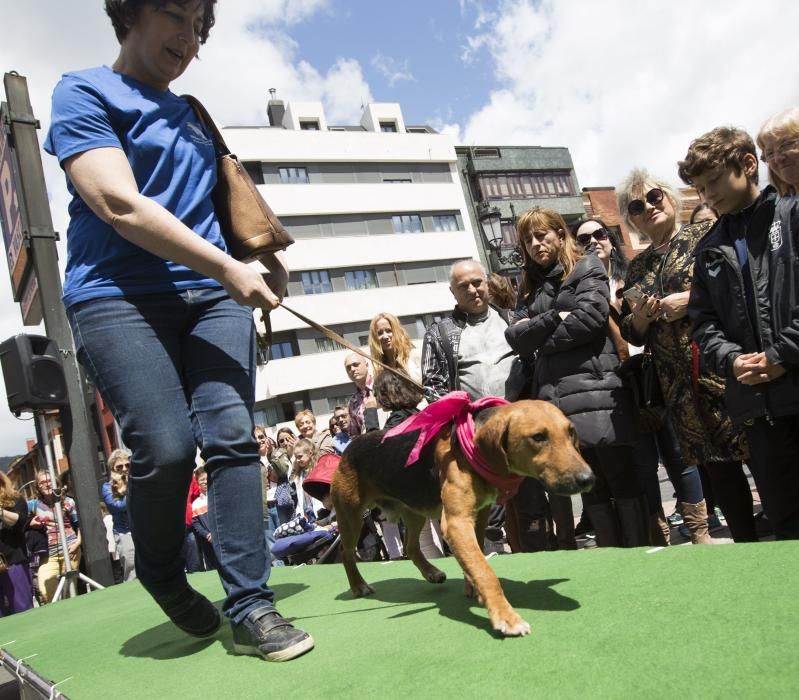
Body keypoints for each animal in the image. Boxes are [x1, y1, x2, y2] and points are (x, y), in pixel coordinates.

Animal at [330, 400, 592, 636]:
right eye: (538, 437)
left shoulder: (479, 516)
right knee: (345, 552)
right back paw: (358, 585)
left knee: (411, 546)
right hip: (351, 516)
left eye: (571, 432)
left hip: (414, 512)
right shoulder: (456, 522)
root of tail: (351, 445)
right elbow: (485, 571)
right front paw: (505, 616)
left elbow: (474, 559)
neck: (472, 451)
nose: (588, 479)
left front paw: (473, 589)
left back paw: (431, 572)